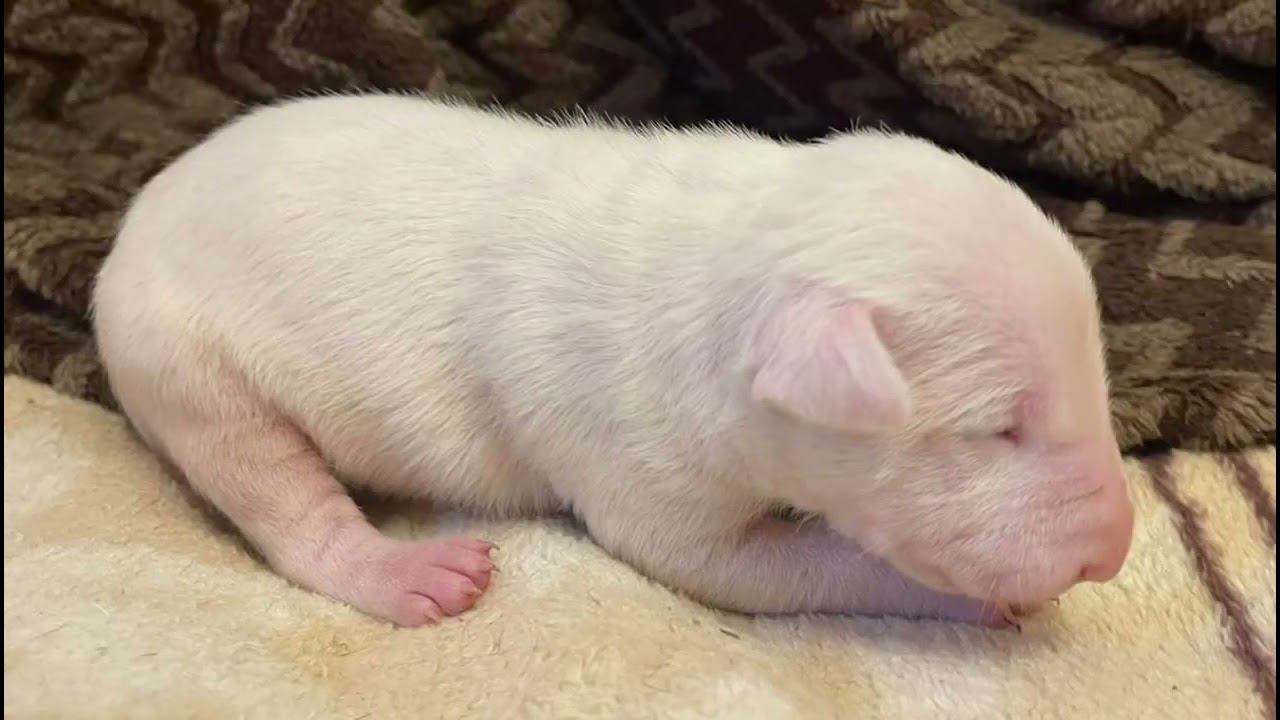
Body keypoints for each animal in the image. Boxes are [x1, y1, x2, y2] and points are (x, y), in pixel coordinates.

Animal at [91, 94, 1134, 628]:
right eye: (999, 428)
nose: (1116, 552)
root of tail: (140, 212)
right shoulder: (652, 484)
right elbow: (772, 568)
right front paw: (988, 601)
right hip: (193, 376)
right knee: (285, 509)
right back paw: (407, 575)